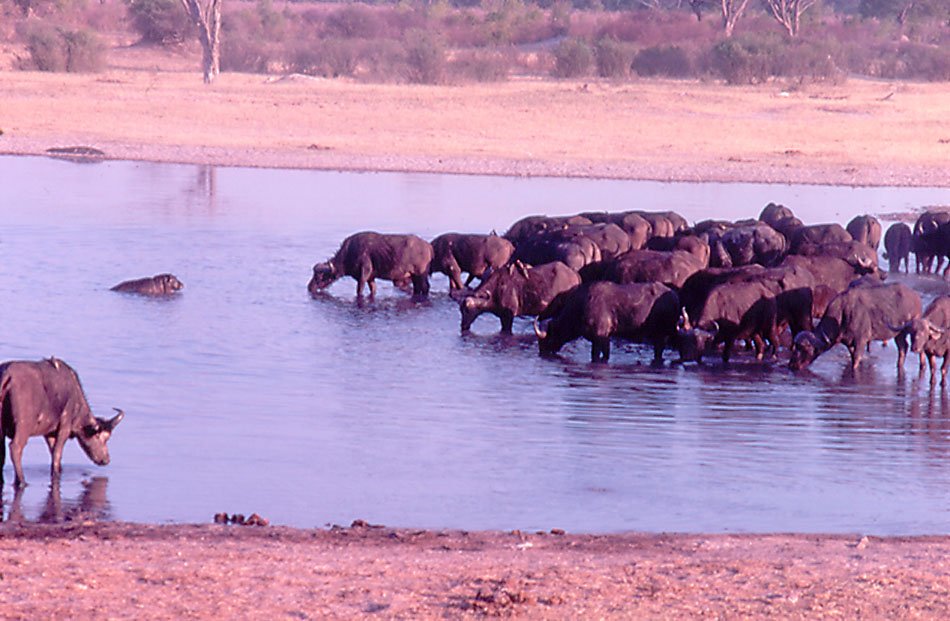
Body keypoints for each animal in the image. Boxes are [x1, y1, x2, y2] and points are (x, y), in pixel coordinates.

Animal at [0, 358, 124, 488]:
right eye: (98, 436)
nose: (106, 460)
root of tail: (7, 375)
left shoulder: (49, 433)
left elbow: (53, 452)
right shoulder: (64, 428)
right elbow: (57, 454)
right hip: (23, 427)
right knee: (15, 448)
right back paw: (22, 481)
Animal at [533, 281, 680, 363]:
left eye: (546, 340)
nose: (542, 354)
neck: (581, 305)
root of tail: (674, 296)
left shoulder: (600, 337)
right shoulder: (605, 338)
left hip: (661, 335)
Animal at [789, 282, 922, 371]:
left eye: (805, 348)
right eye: (795, 347)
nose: (792, 364)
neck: (842, 313)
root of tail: (915, 297)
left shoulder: (861, 341)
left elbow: (856, 361)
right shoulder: (849, 343)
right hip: (898, 334)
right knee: (903, 348)